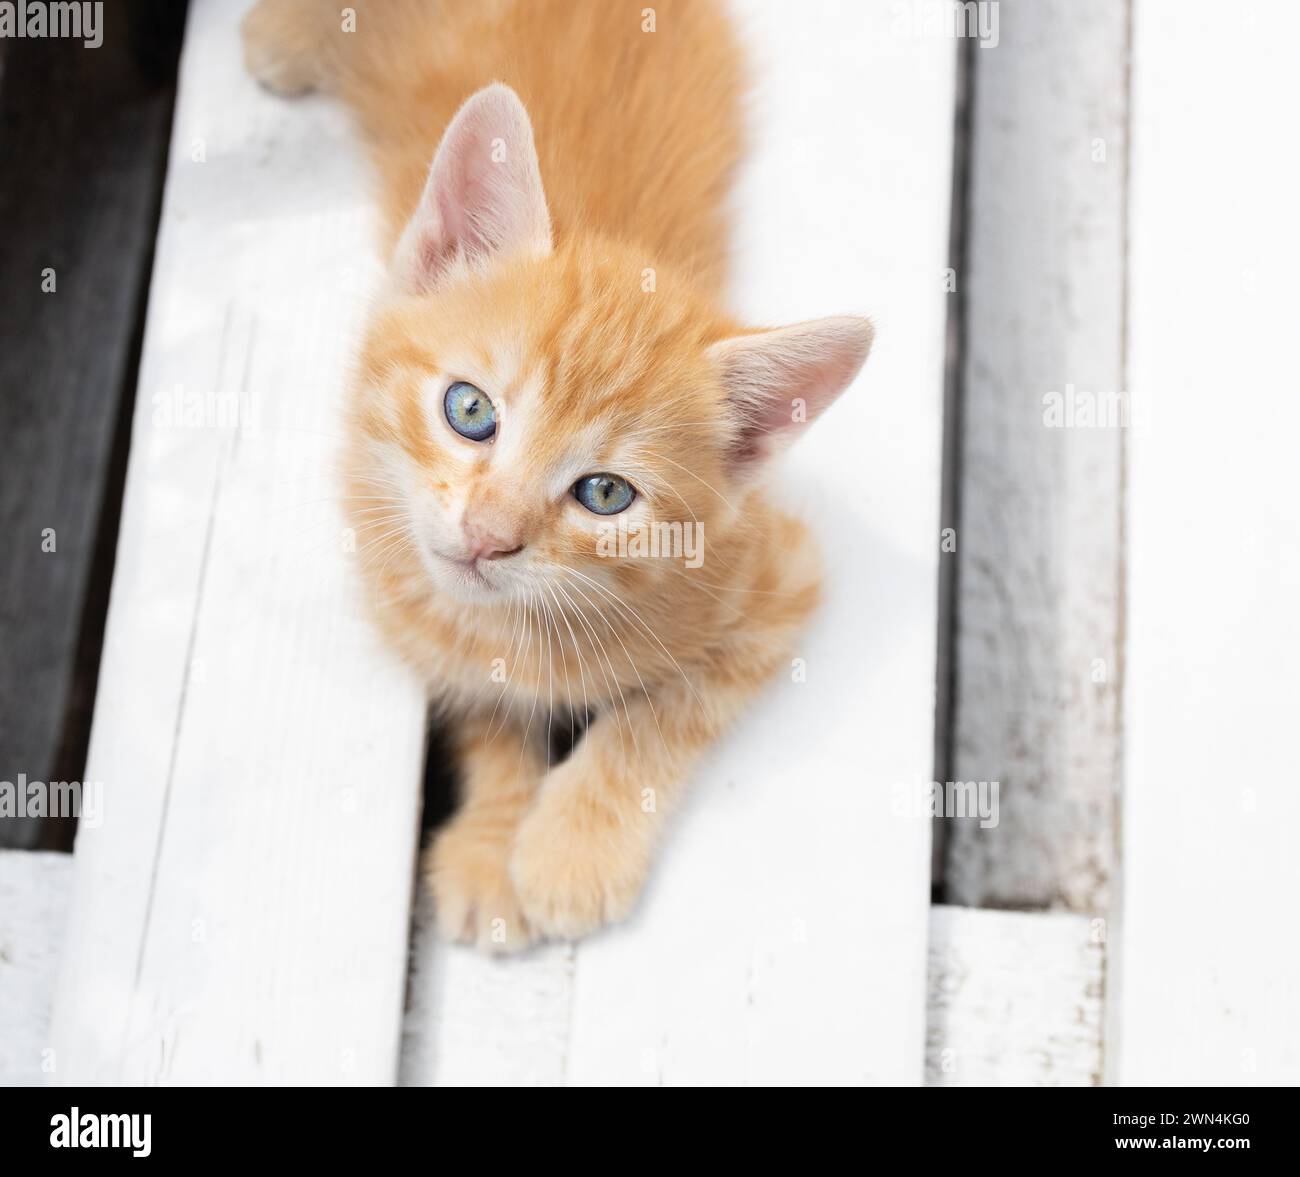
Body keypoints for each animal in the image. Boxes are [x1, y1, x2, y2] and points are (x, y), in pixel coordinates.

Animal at [244, 0, 873, 952]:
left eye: (604, 494)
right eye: (470, 410)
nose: (487, 537)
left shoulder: (781, 575)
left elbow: (665, 711)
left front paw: (568, 849)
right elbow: (485, 709)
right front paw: (494, 842)